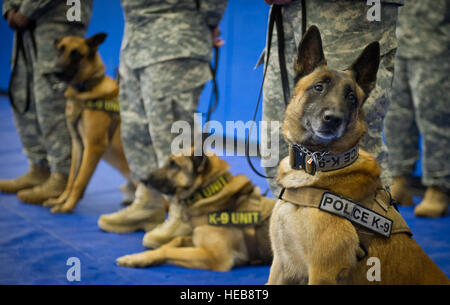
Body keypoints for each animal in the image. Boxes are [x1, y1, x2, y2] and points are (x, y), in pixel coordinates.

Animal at [44, 33, 134, 213]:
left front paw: (67, 206)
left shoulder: (94, 146)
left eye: (76, 54)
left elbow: (79, 181)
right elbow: (72, 178)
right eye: (60, 51)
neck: (84, 89)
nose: (56, 72)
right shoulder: (78, 144)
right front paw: (61, 200)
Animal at [115, 150, 274, 270]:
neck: (209, 193)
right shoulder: (195, 240)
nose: (142, 179)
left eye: (173, 164)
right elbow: (175, 240)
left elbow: (169, 250)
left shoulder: (214, 256)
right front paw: (139, 258)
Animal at [268, 25, 448, 284]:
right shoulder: (280, 267)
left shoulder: (323, 272)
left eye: (351, 97)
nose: (333, 119)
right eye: (319, 87)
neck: (318, 164)